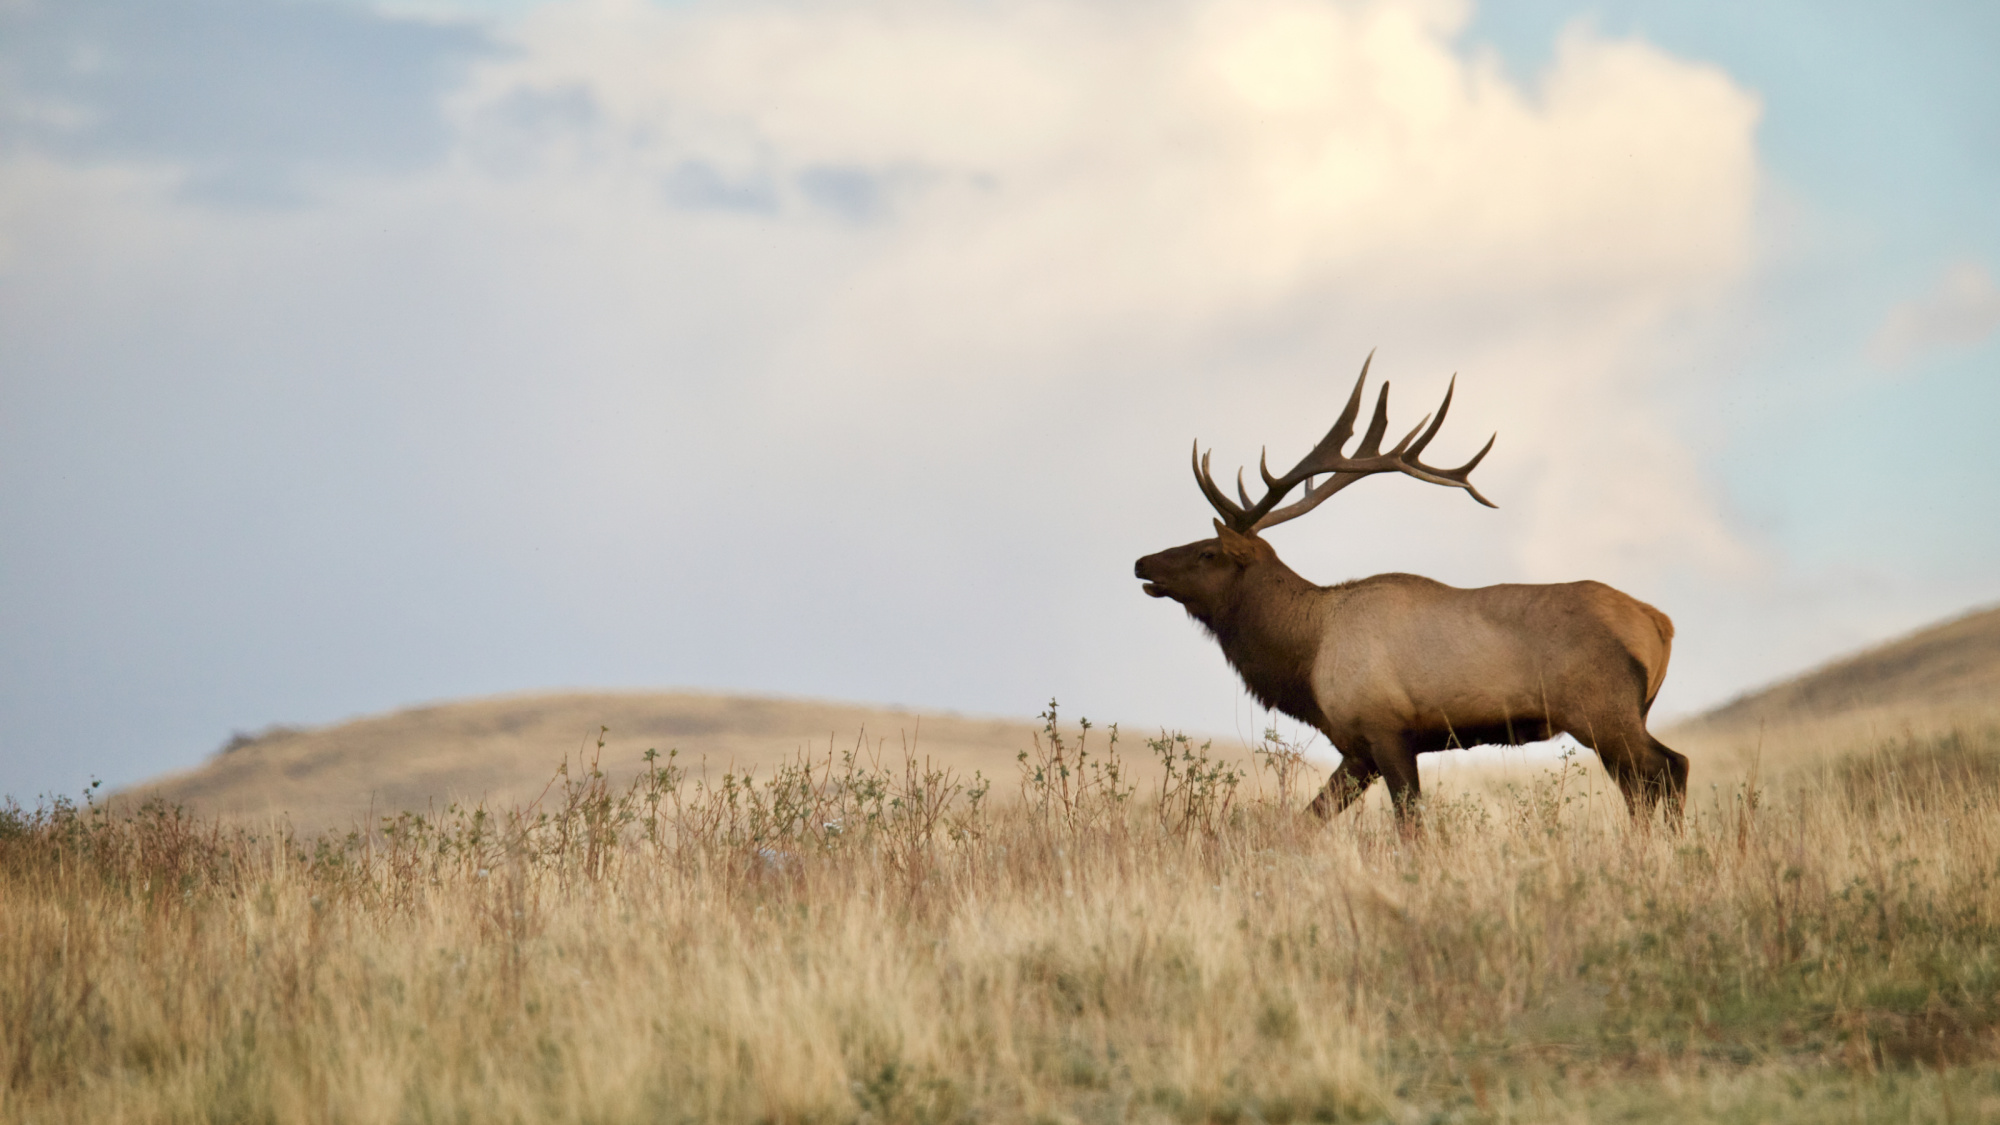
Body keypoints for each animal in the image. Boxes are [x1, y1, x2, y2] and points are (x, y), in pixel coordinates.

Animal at [1134, 354, 1688, 826]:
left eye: (1208, 551)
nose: (1142, 562)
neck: (1305, 658)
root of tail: (1661, 623)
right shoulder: (1356, 749)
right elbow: (1305, 823)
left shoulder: (1386, 729)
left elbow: (1410, 827)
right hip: (1622, 716)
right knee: (1649, 783)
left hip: (1602, 710)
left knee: (1668, 769)